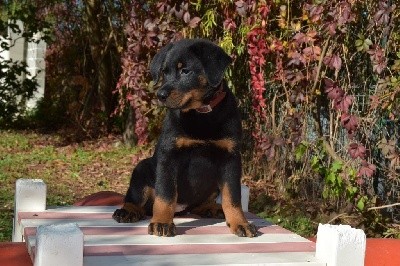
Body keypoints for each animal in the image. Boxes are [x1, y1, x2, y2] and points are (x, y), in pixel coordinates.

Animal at [112, 37, 256, 237]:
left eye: (185, 71)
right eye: (164, 72)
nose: (160, 95)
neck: (201, 114)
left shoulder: (231, 157)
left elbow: (232, 196)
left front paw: (240, 223)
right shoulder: (169, 155)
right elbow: (165, 194)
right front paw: (162, 222)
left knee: (197, 205)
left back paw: (211, 208)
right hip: (141, 169)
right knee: (137, 199)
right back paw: (127, 211)